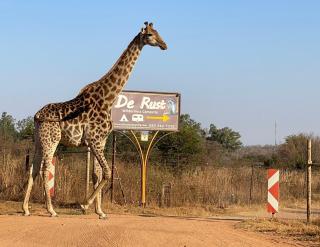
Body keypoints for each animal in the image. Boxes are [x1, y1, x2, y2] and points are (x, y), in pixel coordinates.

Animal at [22, 22, 168, 219]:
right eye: (151, 35)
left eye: (158, 32)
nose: (164, 45)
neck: (109, 98)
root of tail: (36, 116)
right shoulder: (95, 140)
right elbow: (106, 173)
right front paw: (85, 205)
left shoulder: (101, 141)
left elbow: (97, 174)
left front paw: (100, 211)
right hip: (51, 140)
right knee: (46, 169)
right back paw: (51, 210)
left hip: (39, 140)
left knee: (33, 169)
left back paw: (26, 208)